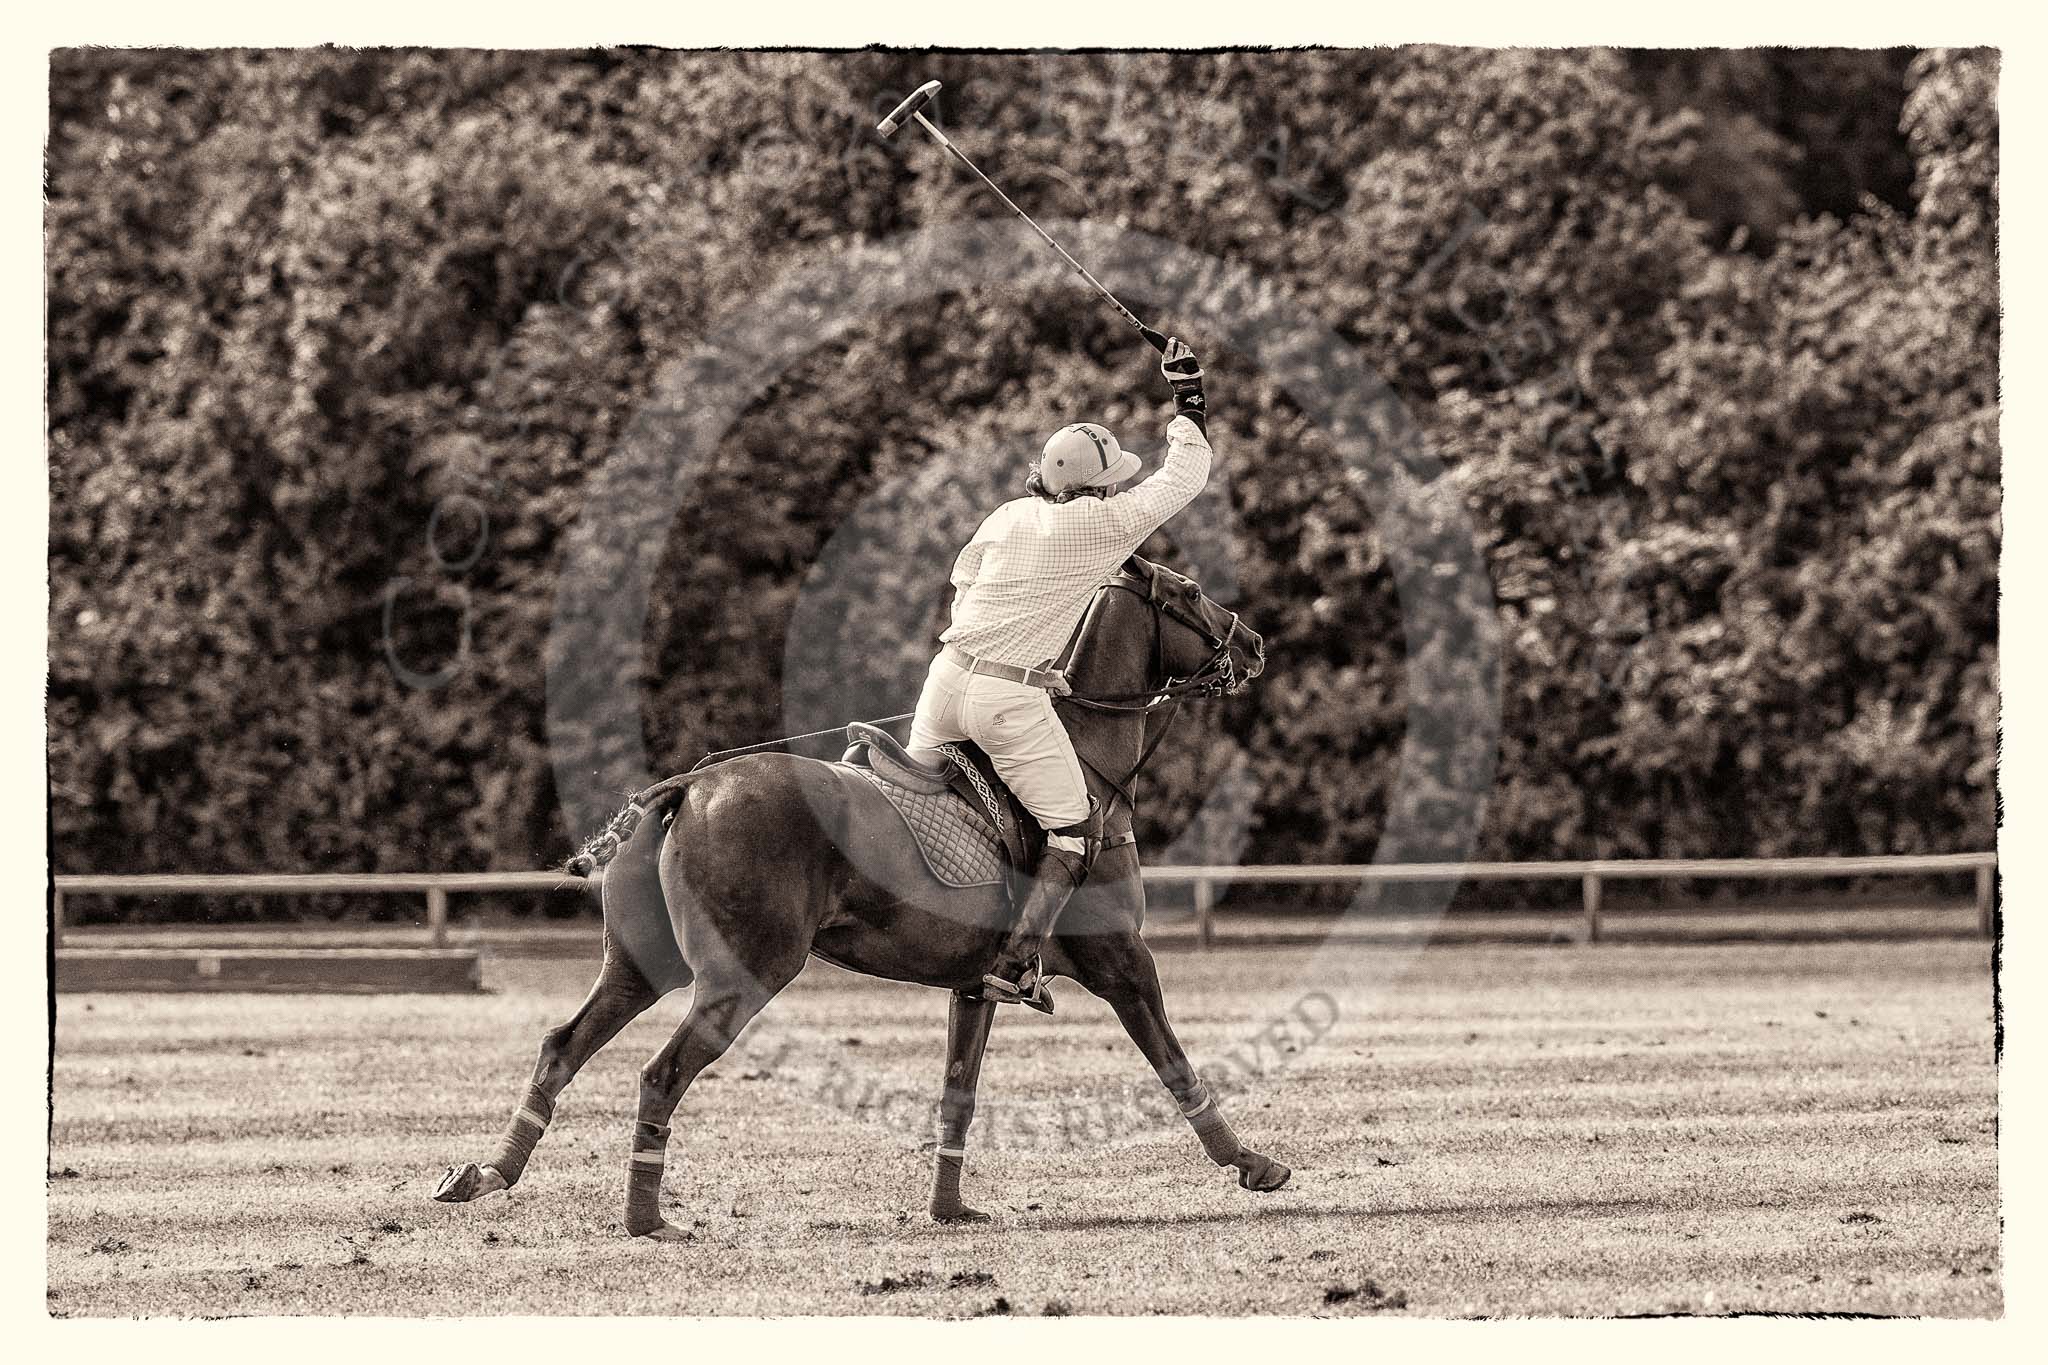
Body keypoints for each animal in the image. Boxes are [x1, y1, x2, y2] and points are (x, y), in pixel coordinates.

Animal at [436, 556, 1294, 1236]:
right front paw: (1253, 1162)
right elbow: (1176, 1063)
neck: (1087, 763)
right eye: (1190, 590)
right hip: (745, 972)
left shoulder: (975, 984)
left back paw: (487, 1173)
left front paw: (950, 1209)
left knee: (562, 1043)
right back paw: (647, 1219)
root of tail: (687, 786)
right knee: (660, 1073)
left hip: (642, 966)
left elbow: (959, 1090)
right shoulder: (1123, 960)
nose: (1253, 644)